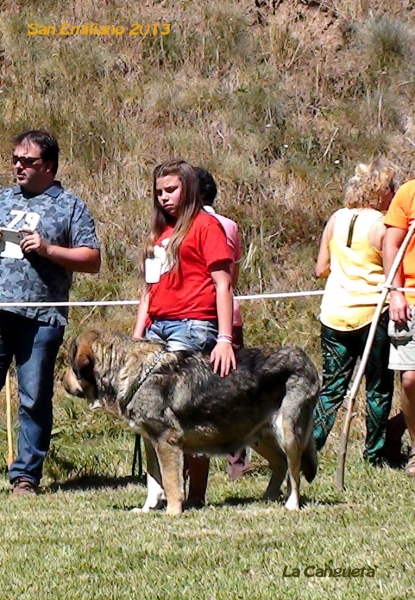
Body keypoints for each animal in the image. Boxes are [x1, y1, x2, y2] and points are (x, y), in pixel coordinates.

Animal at [62, 328, 322, 516]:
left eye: (70, 363)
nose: (62, 381)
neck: (136, 373)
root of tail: (306, 359)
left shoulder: (166, 442)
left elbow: (171, 483)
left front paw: (172, 513)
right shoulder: (150, 442)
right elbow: (153, 482)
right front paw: (147, 509)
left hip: (288, 432)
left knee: (294, 472)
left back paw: (291, 504)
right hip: (259, 436)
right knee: (280, 464)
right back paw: (267, 498)